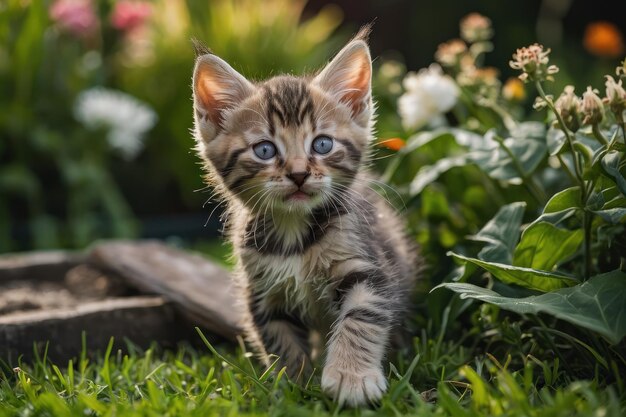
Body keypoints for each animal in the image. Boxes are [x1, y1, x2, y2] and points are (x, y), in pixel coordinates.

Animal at [190, 27, 420, 404]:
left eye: (322, 144)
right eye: (265, 150)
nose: (298, 174)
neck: (293, 233)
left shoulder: (366, 266)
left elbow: (361, 316)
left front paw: (351, 378)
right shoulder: (262, 291)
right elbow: (278, 339)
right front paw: (293, 384)